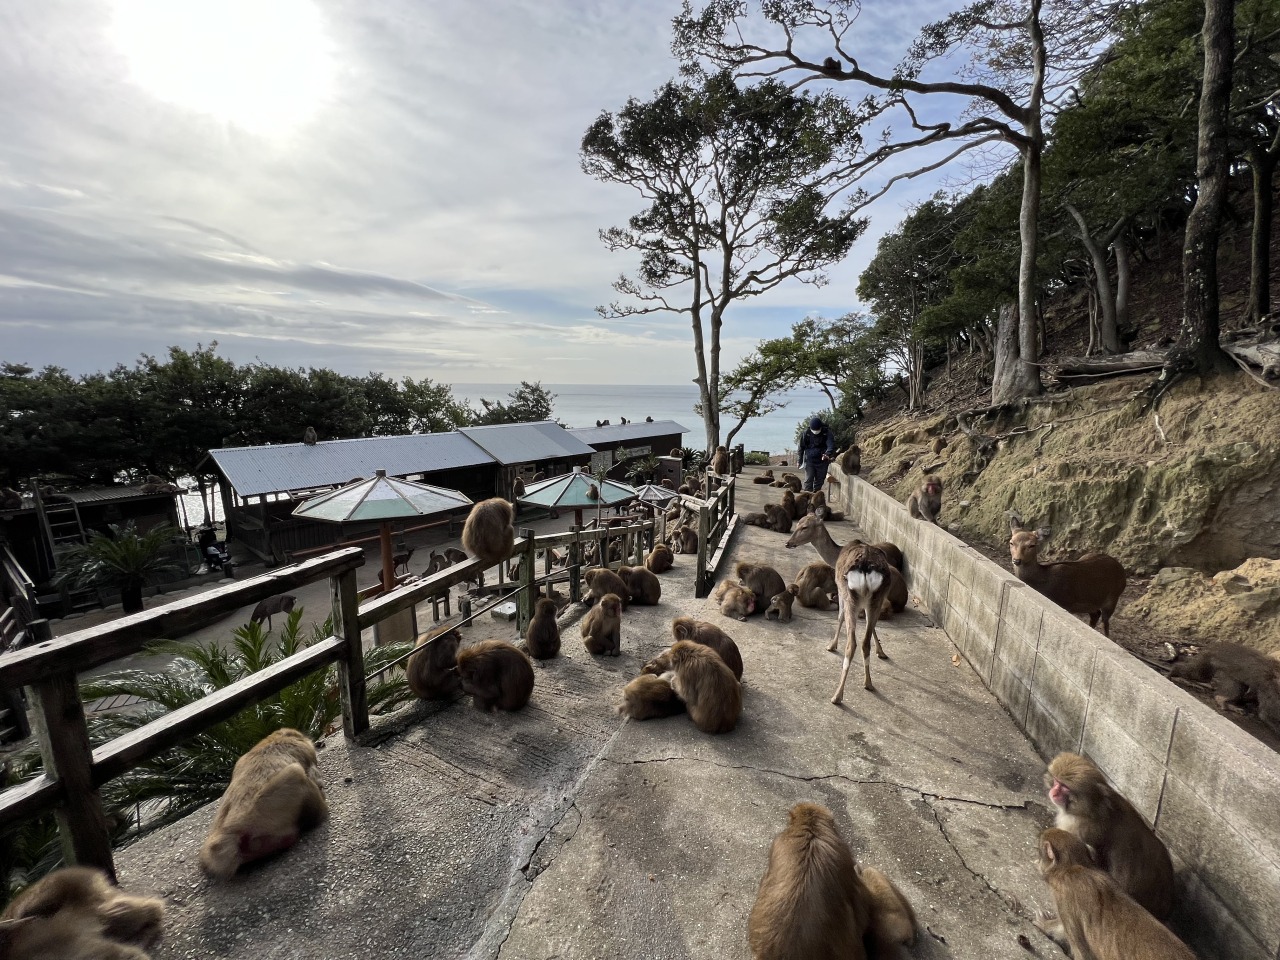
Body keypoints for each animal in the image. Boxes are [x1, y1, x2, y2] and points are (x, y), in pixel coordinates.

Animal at [785, 514, 893, 701]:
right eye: (797, 522)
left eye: (805, 527)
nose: (788, 543)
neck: (836, 557)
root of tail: (866, 567)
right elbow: (871, 628)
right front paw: (882, 652)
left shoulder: (840, 589)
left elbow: (840, 616)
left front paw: (831, 645)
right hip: (877, 596)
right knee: (864, 642)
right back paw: (868, 683)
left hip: (850, 595)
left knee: (852, 643)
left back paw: (837, 695)